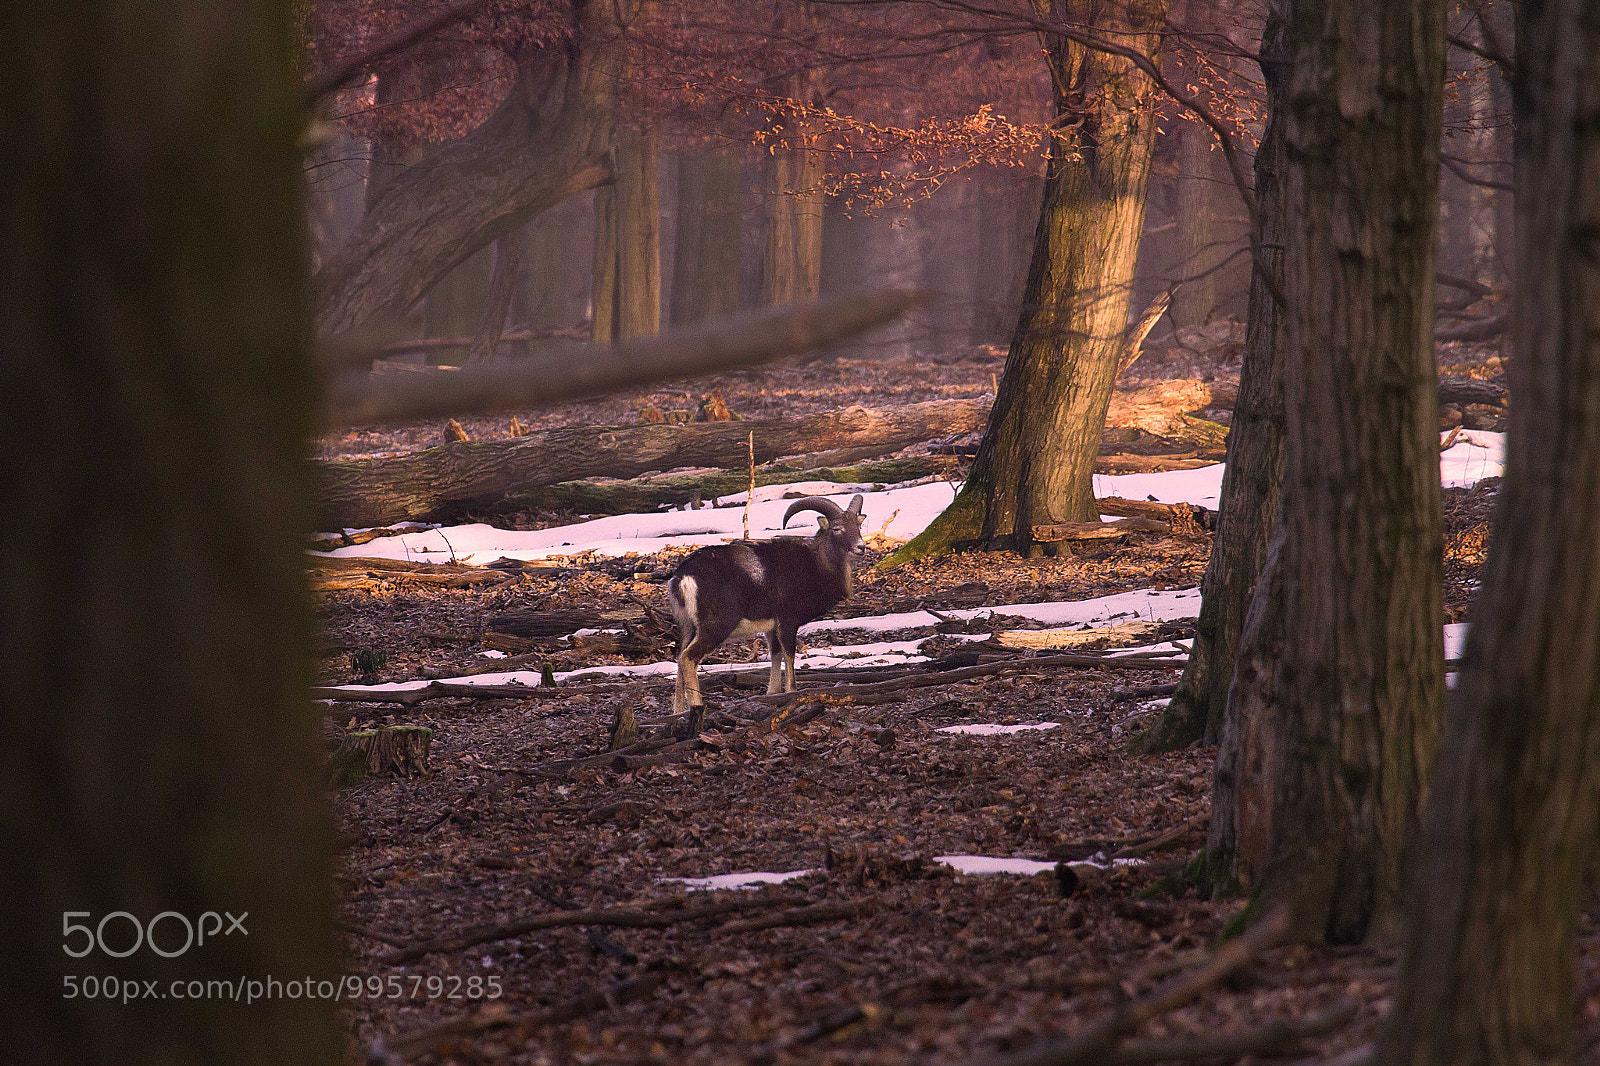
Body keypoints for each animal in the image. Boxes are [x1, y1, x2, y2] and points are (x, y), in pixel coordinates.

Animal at [667, 494, 866, 715]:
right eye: (837, 528)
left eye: (858, 525)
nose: (861, 547)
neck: (816, 566)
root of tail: (683, 577)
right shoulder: (788, 622)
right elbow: (789, 655)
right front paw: (791, 692)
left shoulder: (771, 627)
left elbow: (775, 654)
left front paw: (772, 693)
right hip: (715, 627)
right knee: (688, 658)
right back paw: (697, 706)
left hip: (688, 627)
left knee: (679, 658)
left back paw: (678, 711)